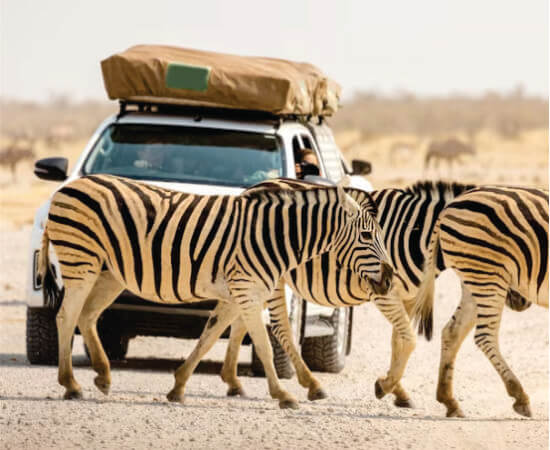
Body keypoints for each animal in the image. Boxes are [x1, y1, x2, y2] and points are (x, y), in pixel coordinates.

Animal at [40, 172, 392, 408]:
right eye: (365, 235)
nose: (389, 278)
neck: (274, 237)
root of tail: (64, 188)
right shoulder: (246, 290)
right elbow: (264, 344)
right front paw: (283, 394)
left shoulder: (239, 293)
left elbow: (210, 336)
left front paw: (179, 387)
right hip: (81, 262)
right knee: (66, 317)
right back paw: (71, 384)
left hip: (109, 273)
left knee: (86, 316)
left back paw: (102, 376)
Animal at [416, 185, 548, 416]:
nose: (520, 302)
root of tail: (449, 206)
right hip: (489, 275)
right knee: (484, 337)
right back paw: (519, 395)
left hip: (473, 279)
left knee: (452, 331)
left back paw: (448, 400)